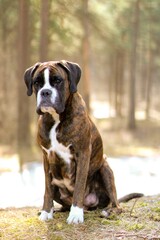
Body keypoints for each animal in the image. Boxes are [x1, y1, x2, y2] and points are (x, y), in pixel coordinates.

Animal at [23, 61, 142, 224]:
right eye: (37, 83)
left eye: (57, 80)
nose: (45, 92)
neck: (56, 119)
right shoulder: (46, 157)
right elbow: (47, 190)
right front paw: (46, 212)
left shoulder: (82, 154)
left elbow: (79, 186)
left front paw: (75, 215)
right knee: (60, 200)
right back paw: (57, 209)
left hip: (105, 168)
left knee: (116, 205)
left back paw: (106, 211)